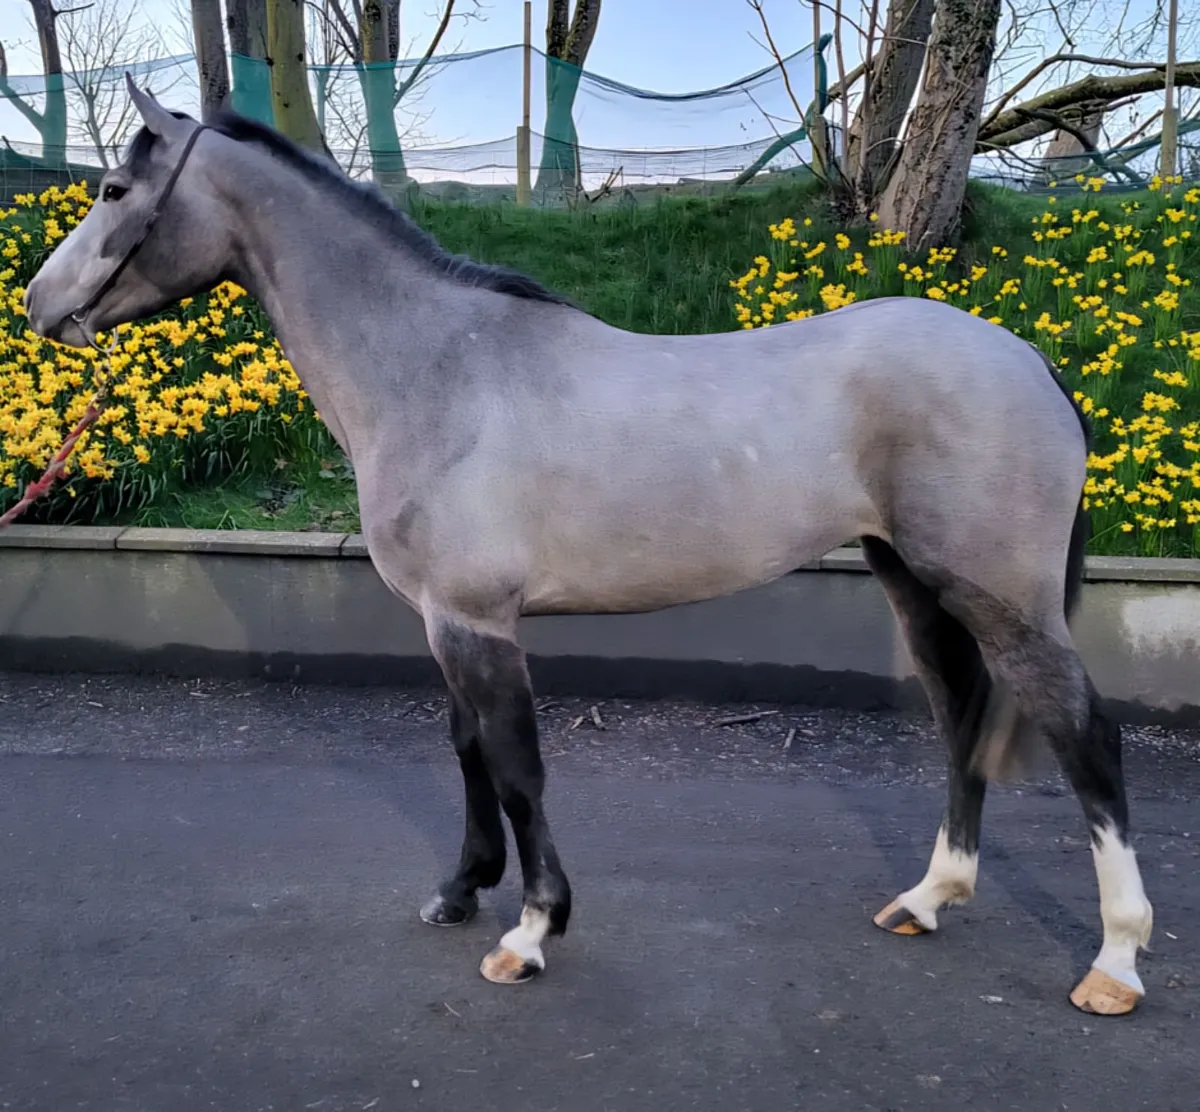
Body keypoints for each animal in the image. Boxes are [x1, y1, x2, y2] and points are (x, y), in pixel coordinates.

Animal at [22, 79, 1152, 1016]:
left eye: (116, 187)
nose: (39, 305)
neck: (438, 369)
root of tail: (1027, 359)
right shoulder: (446, 620)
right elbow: (468, 749)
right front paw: (461, 890)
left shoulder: (479, 621)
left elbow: (519, 768)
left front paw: (530, 930)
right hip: (916, 585)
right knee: (961, 715)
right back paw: (929, 896)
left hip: (1003, 599)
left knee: (1087, 739)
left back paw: (1114, 961)